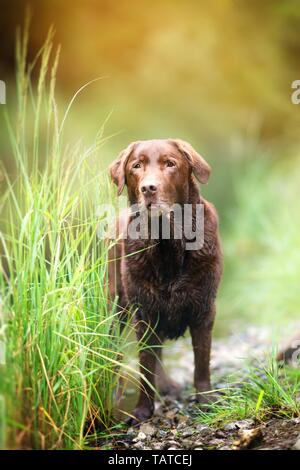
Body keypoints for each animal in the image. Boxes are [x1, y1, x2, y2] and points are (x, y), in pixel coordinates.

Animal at [108, 138, 223, 424]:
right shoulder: (144, 313)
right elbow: (145, 366)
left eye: (170, 164)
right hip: (116, 306)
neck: (167, 246)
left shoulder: (204, 308)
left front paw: (206, 400)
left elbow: (201, 360)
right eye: (136, 166)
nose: (148, 188)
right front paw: (141, 411)